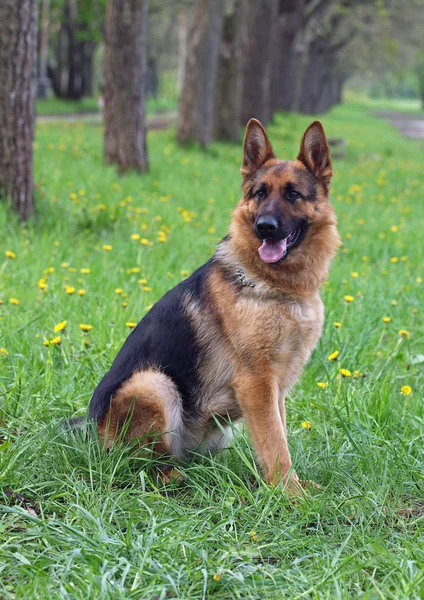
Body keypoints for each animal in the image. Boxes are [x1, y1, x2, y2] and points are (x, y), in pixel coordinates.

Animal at [89, 118, 342, 492]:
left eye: (293, 194)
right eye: (259, 193)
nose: (264, 227)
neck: (273, 286)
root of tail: (90, 432)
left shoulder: (276, 391)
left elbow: (277, 437)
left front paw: (291, 487)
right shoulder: (256, 384)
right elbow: (276, 445)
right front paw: (290, 495)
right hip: (154, 384)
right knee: (143, 464)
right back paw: (175, 477)